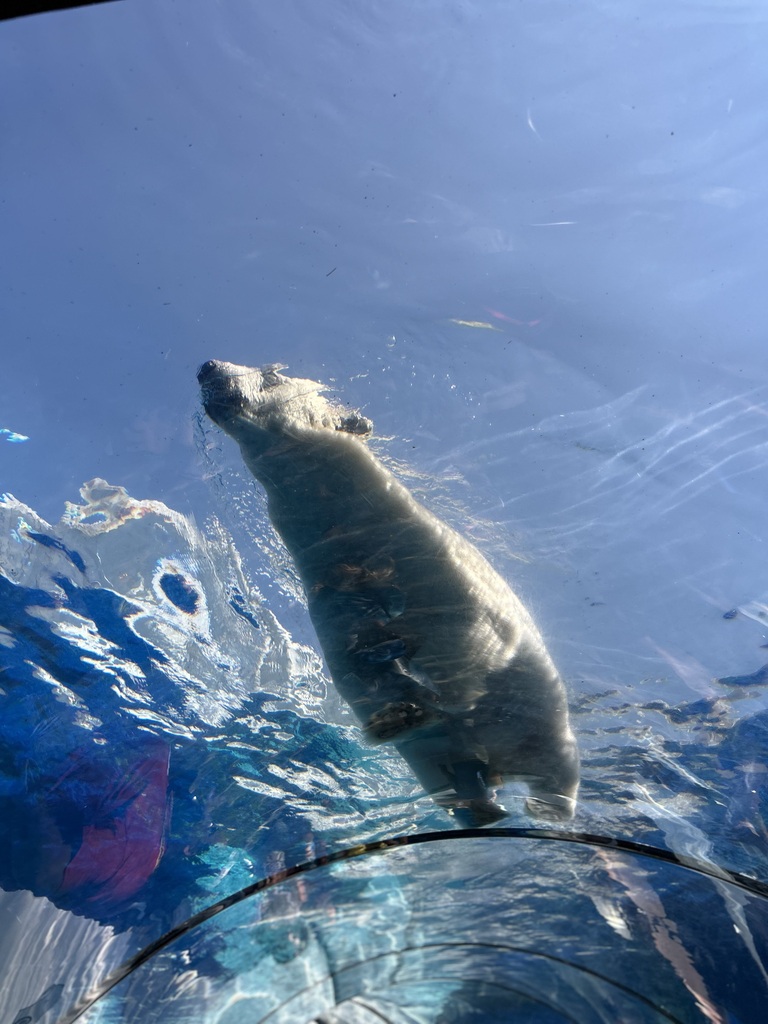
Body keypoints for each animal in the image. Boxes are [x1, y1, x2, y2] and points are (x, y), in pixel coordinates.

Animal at [198, 360, 579, 827]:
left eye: (271, 376)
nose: (208, 367)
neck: (354, 528)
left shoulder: (429, 559)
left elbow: (463, 630)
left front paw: (446, 692)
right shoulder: (326, 579)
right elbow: (348, 652)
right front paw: (396, 708)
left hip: (542, 716)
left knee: (554, 763)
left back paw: (544, 805)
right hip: (432, 762)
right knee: (449, 777)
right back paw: (479, 802)